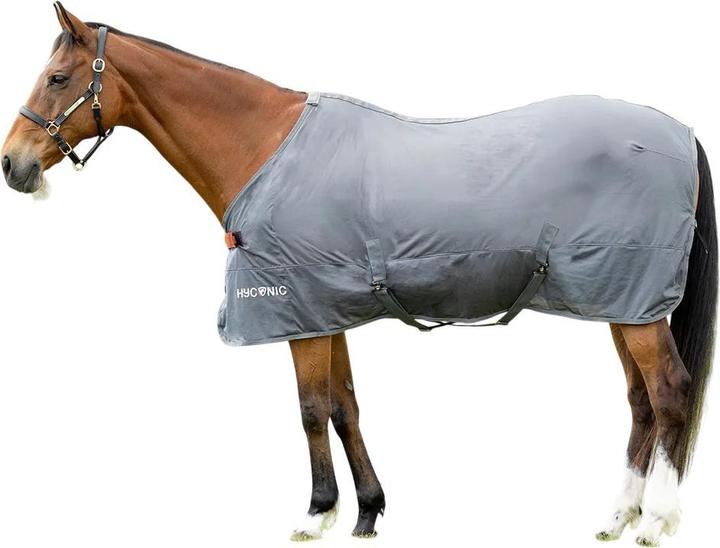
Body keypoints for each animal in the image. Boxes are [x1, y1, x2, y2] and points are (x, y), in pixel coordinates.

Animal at [1, 4, 716, 545]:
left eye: (58, 78)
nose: (13, 164)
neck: (263, 146)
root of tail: (682, 132)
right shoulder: (325, 309)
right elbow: (345, 405)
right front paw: (368, 510)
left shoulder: (299, 314)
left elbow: (312, 409)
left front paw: (317, 514)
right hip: (623, 303)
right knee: (641, 401)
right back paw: (617, 516)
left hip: (639, 307)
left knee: (671, 394)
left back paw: (655, 521)